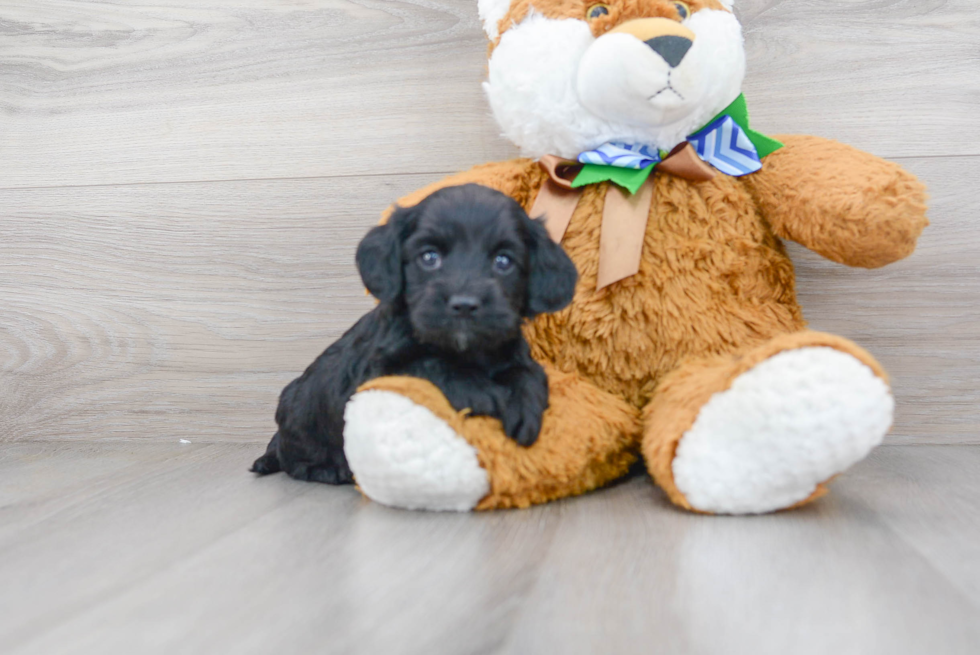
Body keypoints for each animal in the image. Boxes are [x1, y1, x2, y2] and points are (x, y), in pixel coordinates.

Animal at [249, 182, 580, 484]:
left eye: (503, 261)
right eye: (429, 257)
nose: (464, 305)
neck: (467, 351)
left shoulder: (513, 351)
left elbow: (529, 373)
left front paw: (525, 408)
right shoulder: (380, 371)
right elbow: (427, 363)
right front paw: (480, 391)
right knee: (292, 460)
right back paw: (326, 468)